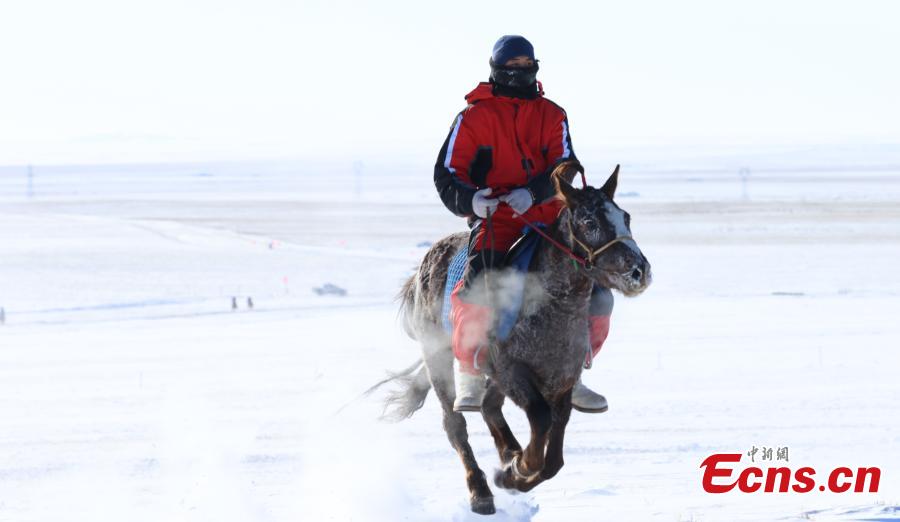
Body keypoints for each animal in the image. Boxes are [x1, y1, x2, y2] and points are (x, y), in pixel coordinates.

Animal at [376, 161, 652, 512]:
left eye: (625, 217)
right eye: (589, 221)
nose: (639, 271)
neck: (552, 309)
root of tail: (424, 266)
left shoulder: (562, 377)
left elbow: (554, 455)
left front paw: (514, 469)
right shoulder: (512, 371)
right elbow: (540, 422)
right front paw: (517, 469)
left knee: (488, 406)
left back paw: (507, 452)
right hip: (437, 356)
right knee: (456, 424)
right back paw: (480, 490)